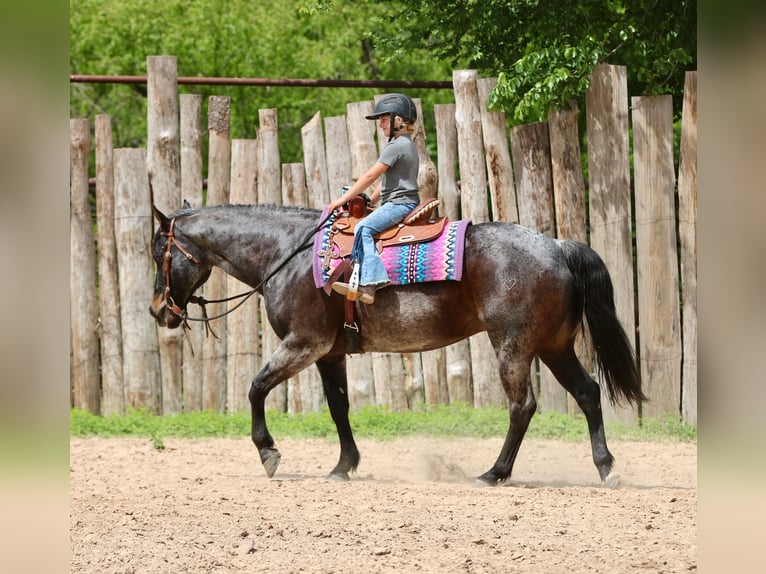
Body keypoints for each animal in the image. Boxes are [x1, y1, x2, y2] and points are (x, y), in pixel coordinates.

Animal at [149, 203, 645, 486]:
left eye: (159, 252)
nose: (158, 309)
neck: (287, 254)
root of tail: (557, 246)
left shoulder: (304, 343)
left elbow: (255, 388)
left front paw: (269, 453)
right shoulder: (329, 353)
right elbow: (339, 407)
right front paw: (344, 465)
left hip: (514, 345)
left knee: (522, 406)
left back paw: (495, 472)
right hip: (554, 346)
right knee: (588, 393)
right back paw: (605, 466)